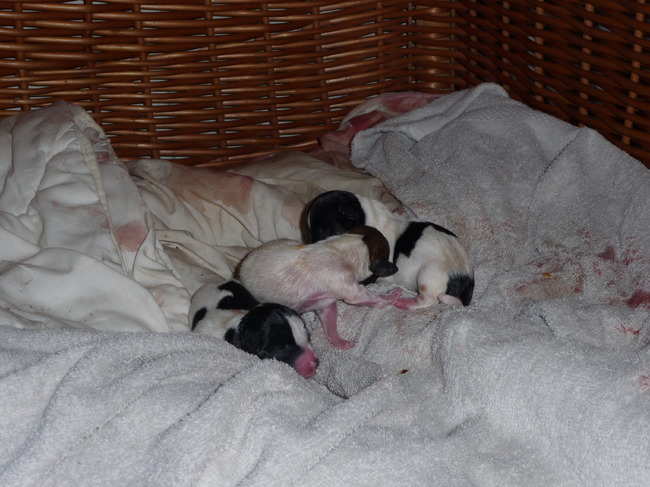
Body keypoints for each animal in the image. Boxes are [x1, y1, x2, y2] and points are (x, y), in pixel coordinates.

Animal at [238, 225, 401, 350]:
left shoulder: (325, 304)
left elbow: (330, 320)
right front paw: (391, 296)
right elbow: (368, 297)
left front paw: (339, 341)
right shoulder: (347, 286)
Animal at [306, 190, 474, 309]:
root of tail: (466, 278)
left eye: (325, 232)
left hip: (430, 273)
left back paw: (406, 303)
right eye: (308, 233)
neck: (367, 217)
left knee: (430, 299)